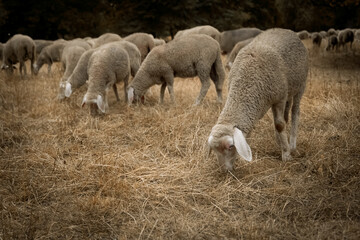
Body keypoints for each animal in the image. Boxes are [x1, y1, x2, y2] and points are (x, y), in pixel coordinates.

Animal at [208, 27, 310, 171]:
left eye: (231, 146)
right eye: (214, 149)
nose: (225, 171)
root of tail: (285, 30)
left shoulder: (279, 98)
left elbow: (279, 125)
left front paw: (286, 154)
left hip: (300, 85)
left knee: (295, 111)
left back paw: (292, 144)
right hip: (288, 90)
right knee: (286, 113)